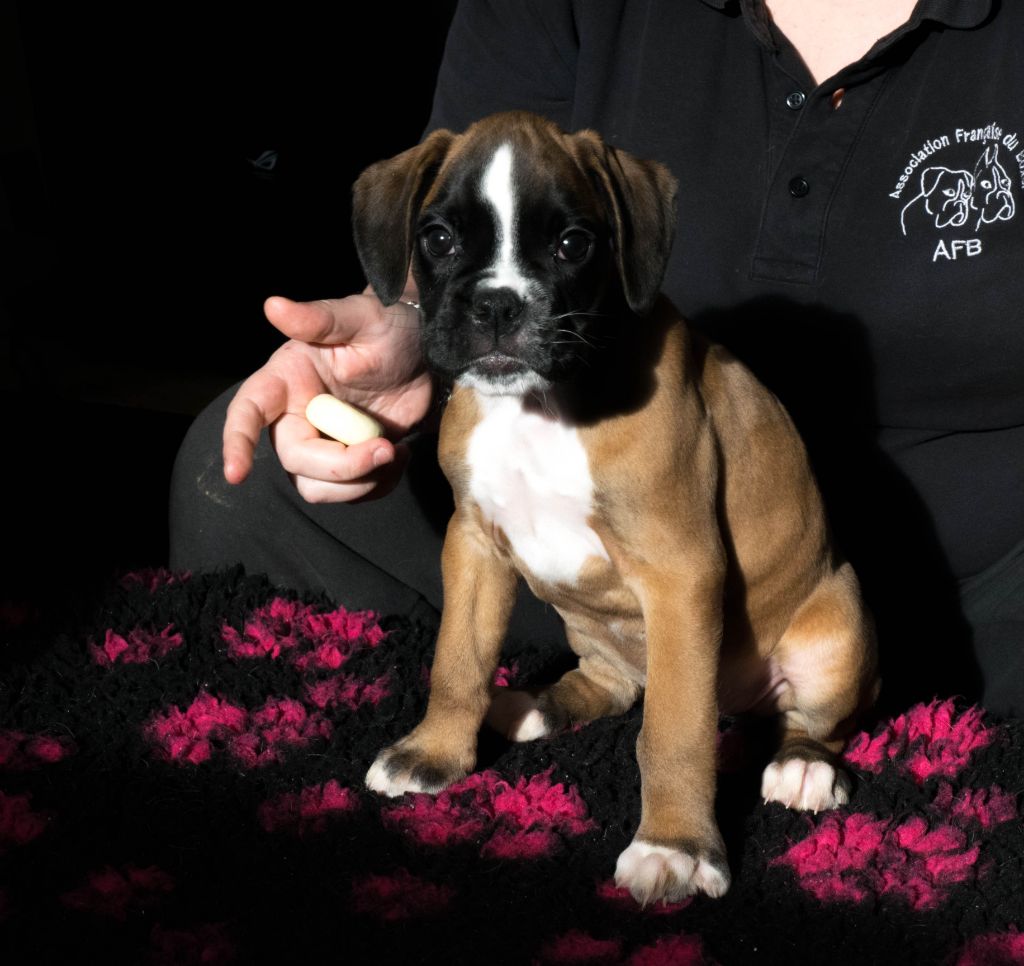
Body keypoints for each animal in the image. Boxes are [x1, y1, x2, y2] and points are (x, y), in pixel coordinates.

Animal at [353, 111, 879, 905]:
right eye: (438, 238)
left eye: (573, 244)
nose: (499, 304)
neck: (541, 405)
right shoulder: (472, 544)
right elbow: (458, 659)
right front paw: (435, 751)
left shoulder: (681, 575)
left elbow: (673, 732)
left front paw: (676, 845)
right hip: (591, 626)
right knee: (613, 681)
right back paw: (535, 704)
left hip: (836, 630)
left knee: (814, 720)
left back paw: (804, 764)